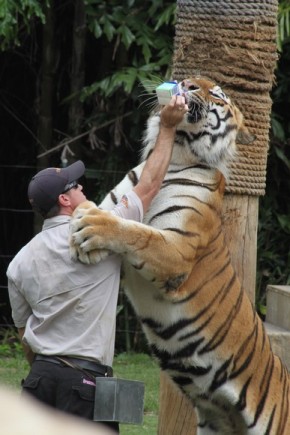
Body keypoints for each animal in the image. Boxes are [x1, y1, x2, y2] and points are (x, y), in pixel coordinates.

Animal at [69, 78, 288, 435]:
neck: (175, 153)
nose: (186, 83)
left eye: (217, 93)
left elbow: (137, 233)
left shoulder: (177, 251)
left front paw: (91, 225)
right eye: (195, 80)